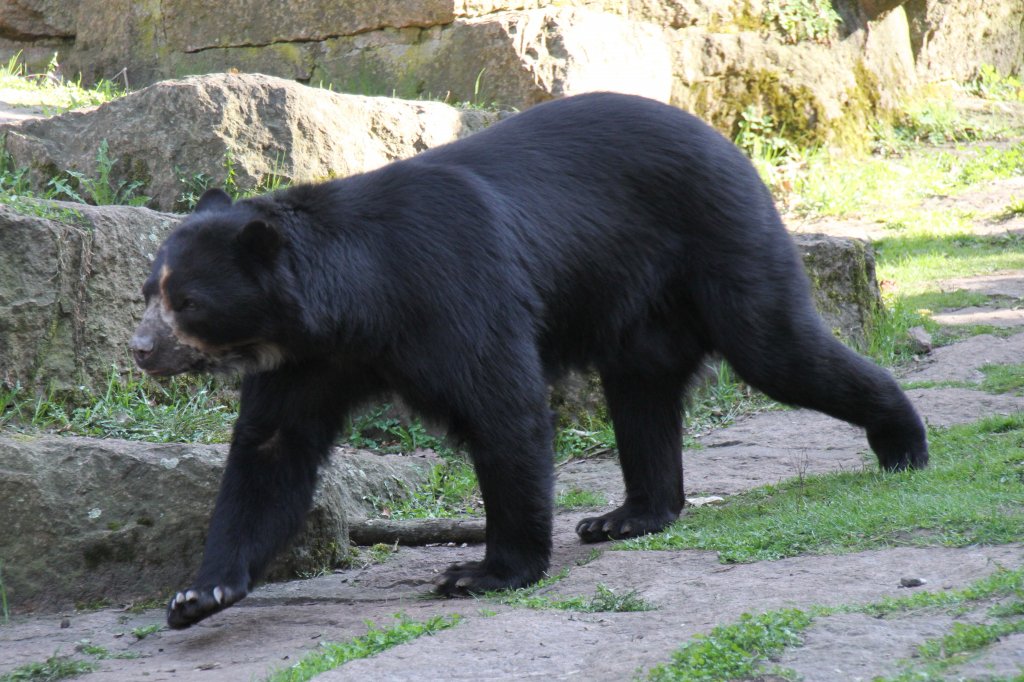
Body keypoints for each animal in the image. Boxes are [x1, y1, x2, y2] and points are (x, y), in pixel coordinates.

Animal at [130, 90, 929, 626]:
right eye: (148, 291)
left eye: (188, 302)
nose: (140, 349)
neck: (349, 311)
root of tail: (726, 141)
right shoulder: (304, 363)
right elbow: (271, 452)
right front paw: (198, 594)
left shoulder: (451, 293)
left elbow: (502, 408)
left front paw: (483, 572)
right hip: (639, 310)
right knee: (642, 397)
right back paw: (629, 515)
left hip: (721, 241)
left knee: (776, 347)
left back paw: (903, 443)